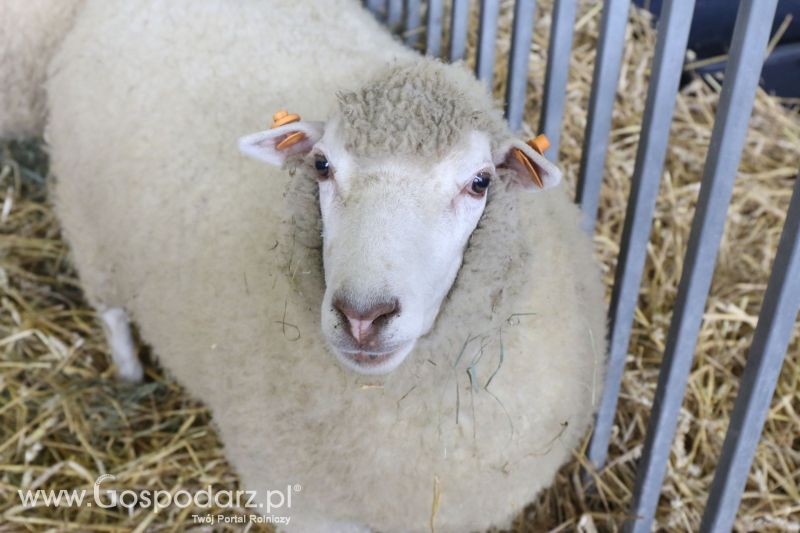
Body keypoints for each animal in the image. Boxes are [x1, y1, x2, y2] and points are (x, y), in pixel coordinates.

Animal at [34, 0, 604, 528]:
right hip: (90, 227)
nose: (362, 316)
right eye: (323, 165)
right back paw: (129, 372)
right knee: (110, 312)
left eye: (480, 182)